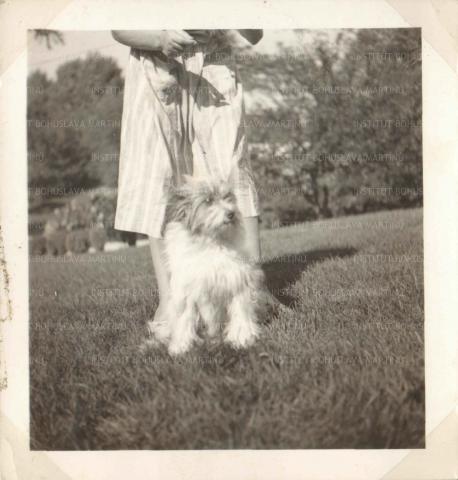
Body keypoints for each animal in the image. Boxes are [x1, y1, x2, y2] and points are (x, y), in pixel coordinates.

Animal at [149, 175, 265, 356]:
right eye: (208, 200)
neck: (211, 242)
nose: (231, 213)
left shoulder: (237, 283)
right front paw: (181, 347)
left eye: (228, 197)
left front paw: (242, 338)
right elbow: (184, 318)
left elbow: (241, 311)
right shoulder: (186, 292)